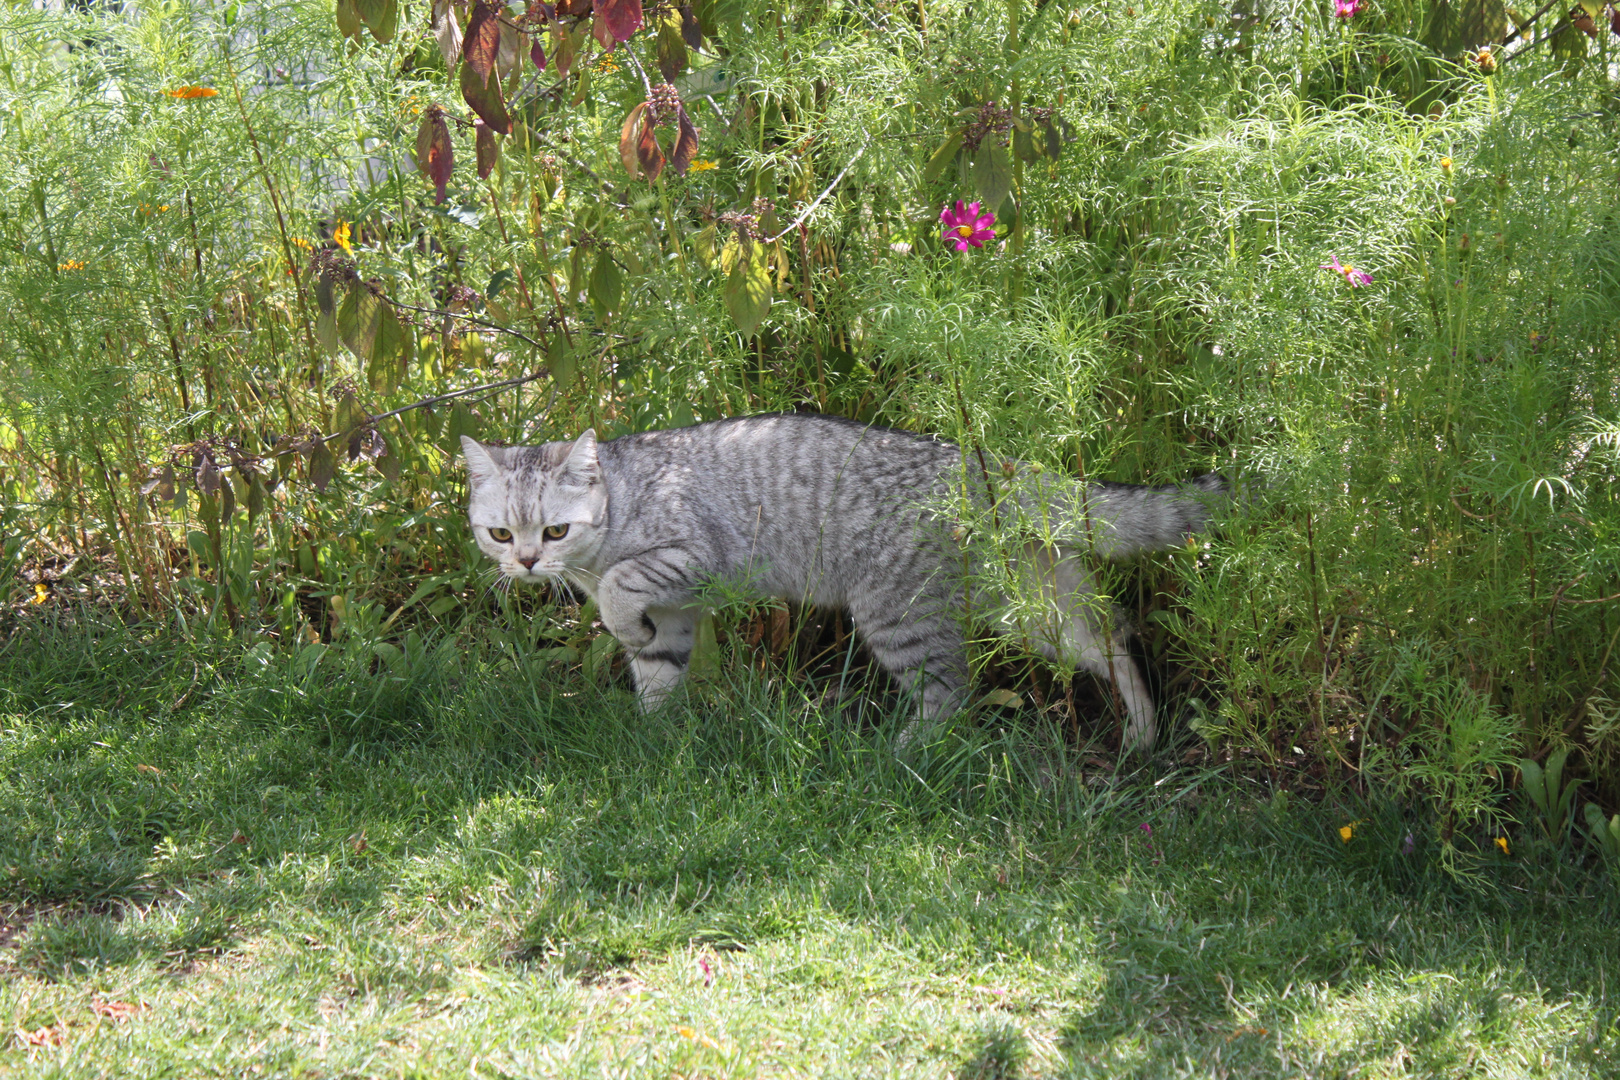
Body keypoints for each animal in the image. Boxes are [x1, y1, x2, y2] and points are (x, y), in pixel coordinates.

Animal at [463, 414, 1218, 751]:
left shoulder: (692, 556)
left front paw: (621, 622)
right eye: (500, 534)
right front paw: (657, 736)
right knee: (1115, 638)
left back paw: (903, 753)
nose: (525, 564)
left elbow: (625, 588)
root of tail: (974, 461)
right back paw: (1143, 732)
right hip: (1030, 603)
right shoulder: (677, 616)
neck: (617, 504)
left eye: (554, 532)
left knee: (952, 694)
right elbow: (658, 674)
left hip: (897, 614)